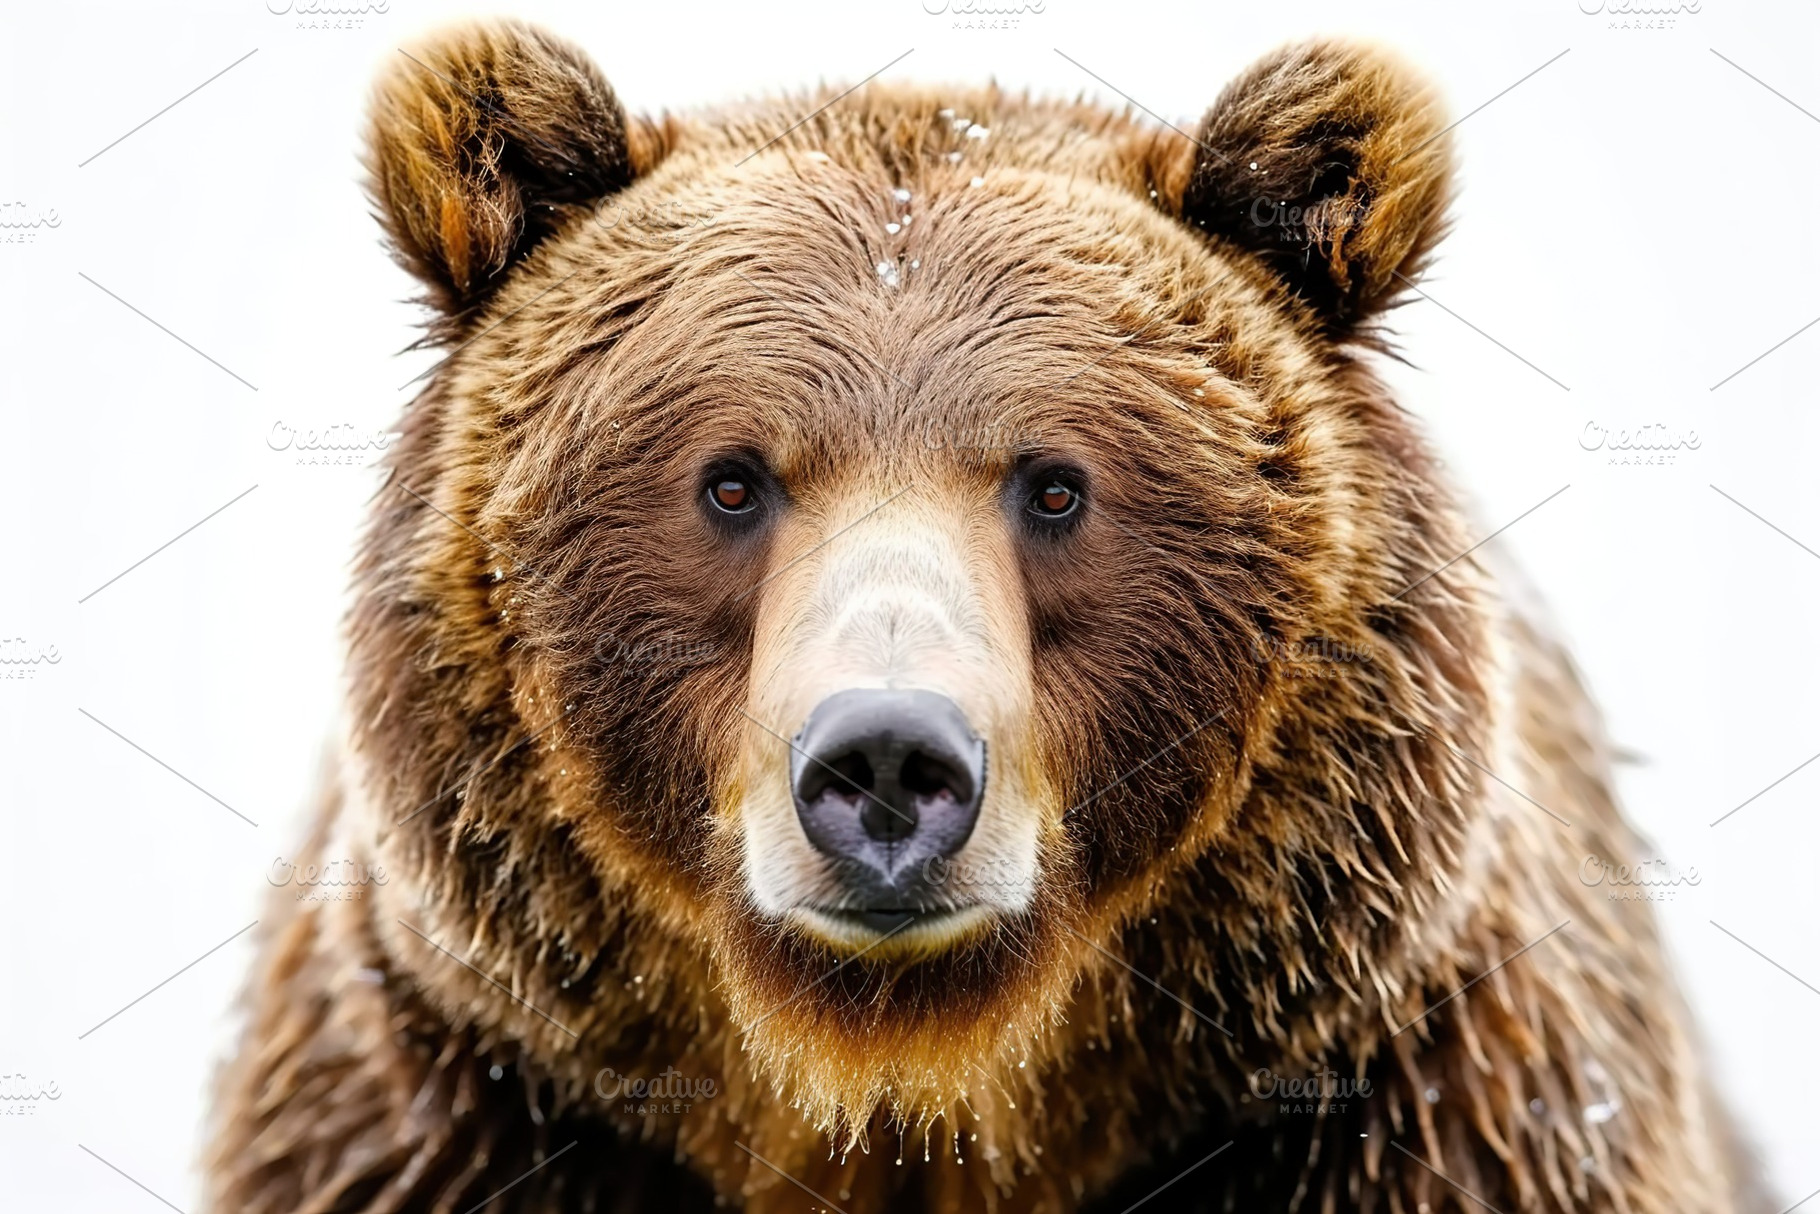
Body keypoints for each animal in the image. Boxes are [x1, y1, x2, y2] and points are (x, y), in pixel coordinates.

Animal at [204, 19, 1769, 1214]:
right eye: (730, 479)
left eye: (1056, 484)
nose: (890, 763)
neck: (918, 1093)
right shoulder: (463, 1110)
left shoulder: (1414, 1103)